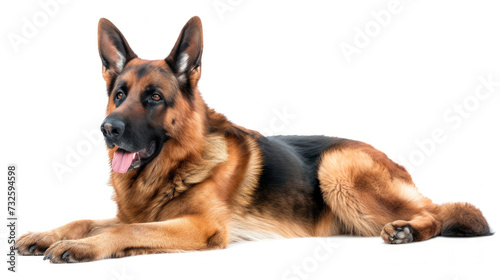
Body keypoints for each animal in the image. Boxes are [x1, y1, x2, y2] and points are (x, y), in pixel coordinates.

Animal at [16, 17, 492, 262]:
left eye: (153, 97)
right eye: (119, 95)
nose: (108, 129)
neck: (176, 164)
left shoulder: (200, 226)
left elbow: (121, 231)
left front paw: (79, 247)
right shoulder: (141, 214)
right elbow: (88, 219)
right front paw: (47, 234)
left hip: (337, 167)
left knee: (437, 213)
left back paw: (409, 230)